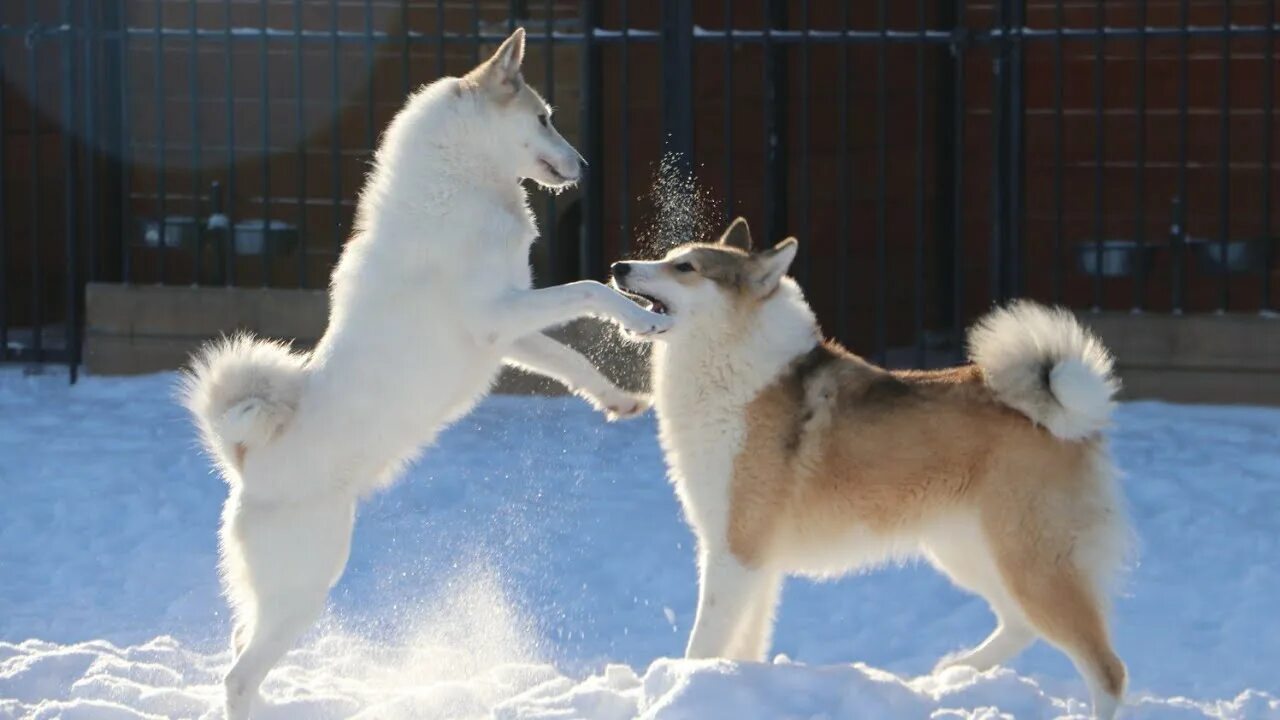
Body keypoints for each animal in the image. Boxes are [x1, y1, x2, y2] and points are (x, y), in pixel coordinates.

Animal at [186, 30, 675, 717]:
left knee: (238, 651)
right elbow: (589, 289)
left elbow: (571, 360)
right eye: (545, 118)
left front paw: (618, 401)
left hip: (276, 598)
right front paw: (643, 321)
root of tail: (245, 464)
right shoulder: (500, 314)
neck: (462, 180)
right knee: (238, 675)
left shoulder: (507, 334)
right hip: (306, 586)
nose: (584, 165)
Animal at [616, 219, 1131, 717]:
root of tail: (1067, 413)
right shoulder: (753, 562)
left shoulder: (734, 551)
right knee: (1022, 625)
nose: (620, 266)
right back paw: (955, 672)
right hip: (973, 552)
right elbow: (743, 645)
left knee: (1108, 670)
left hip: (1030, 563)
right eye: (669, 257)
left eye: (685, 268)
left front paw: (681, 690)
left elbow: (704, 642)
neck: (733, 366)